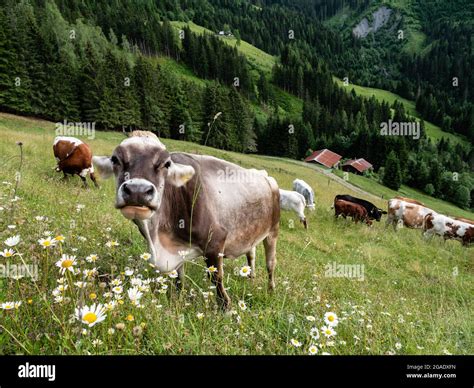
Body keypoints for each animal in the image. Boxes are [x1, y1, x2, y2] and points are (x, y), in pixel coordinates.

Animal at [92, 130, 280, 310]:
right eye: (115, 159)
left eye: (166, 163)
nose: (138, 190)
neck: (158, 239)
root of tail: (262, 174)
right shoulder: (177, 249)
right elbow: (179, 278)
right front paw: (179, 297)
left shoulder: (216, 241)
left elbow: (216, 278)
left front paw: (226, 308)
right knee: (251, 254)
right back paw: (252, 277)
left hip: (273, 231)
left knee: (271, 264)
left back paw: (271, 290)